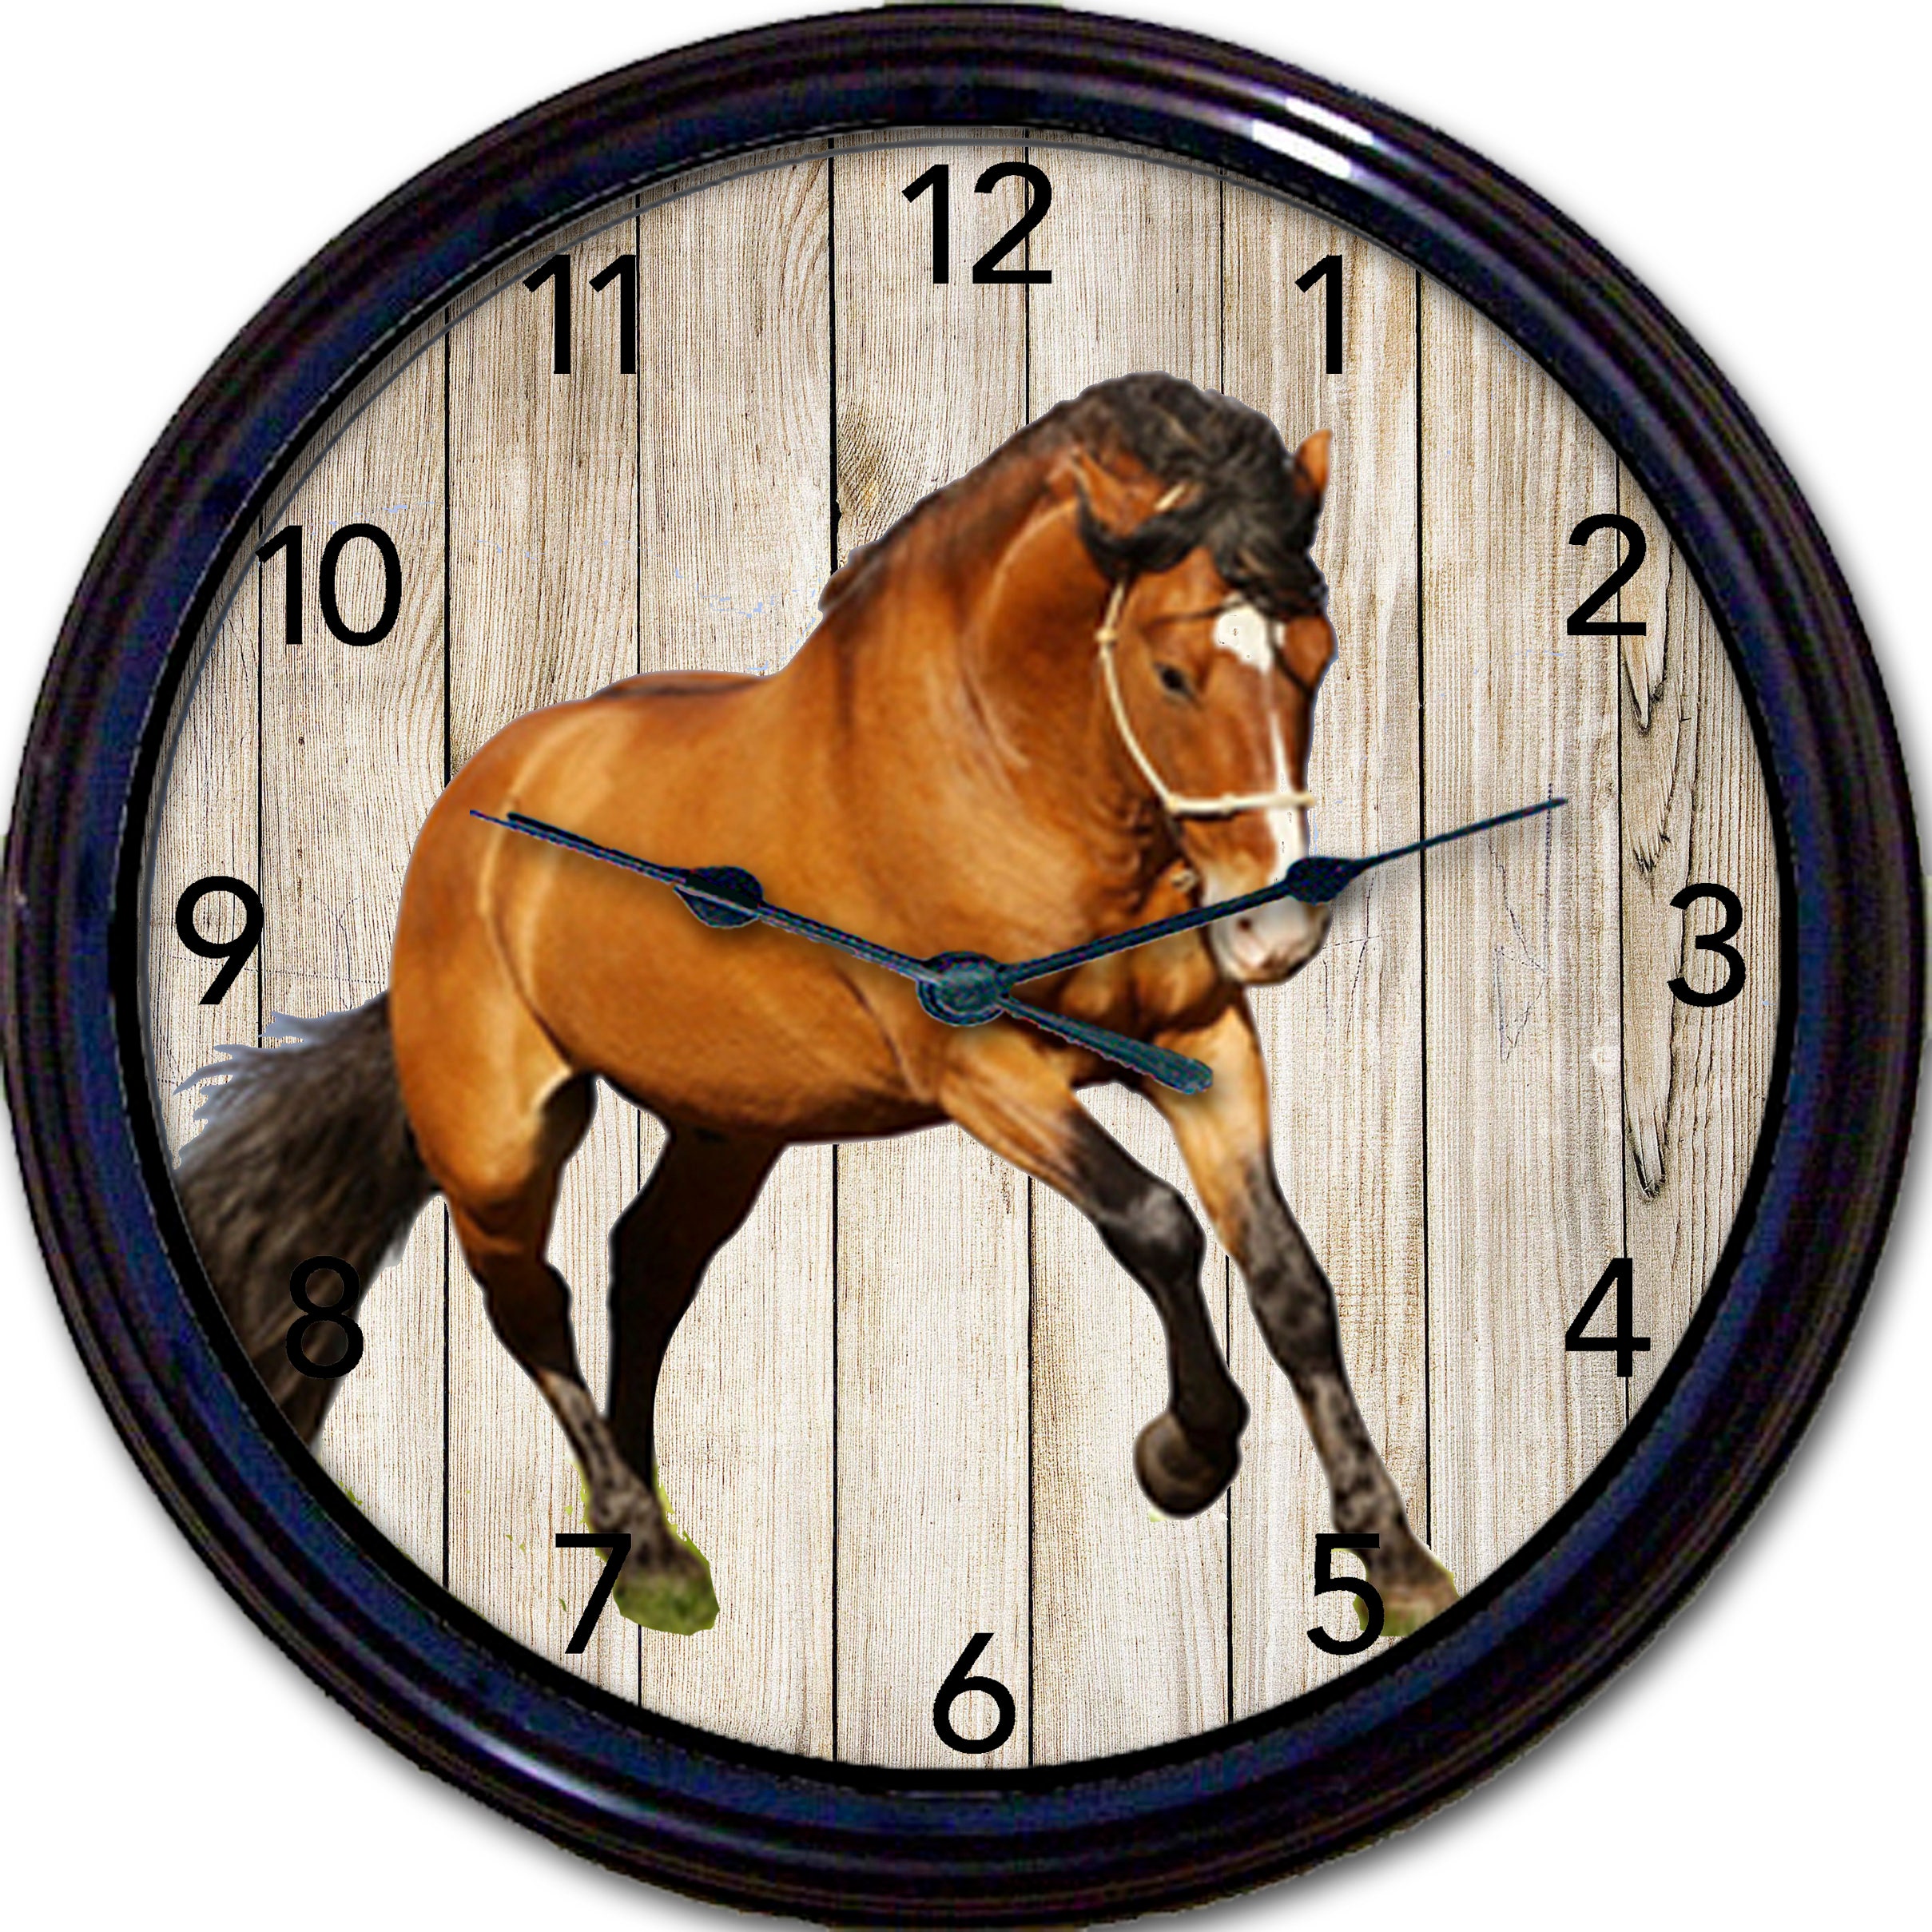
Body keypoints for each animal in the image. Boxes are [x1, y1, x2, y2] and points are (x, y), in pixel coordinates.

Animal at [177, 371, 1459, 1641]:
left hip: (728, 1126)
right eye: (1174, 672)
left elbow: (1290, 1282)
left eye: (1318, 654)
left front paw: (1396, 1561)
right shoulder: (982, 1069)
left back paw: (642, 1520)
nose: (1277, 931)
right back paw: (651, 1557)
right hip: (498, 1138)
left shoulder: (1201, 1050)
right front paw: (1185, 1455)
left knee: (646, 1265)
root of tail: (472, 810)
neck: (1002, 766)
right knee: (528, 1304)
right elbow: (1155, 1223)